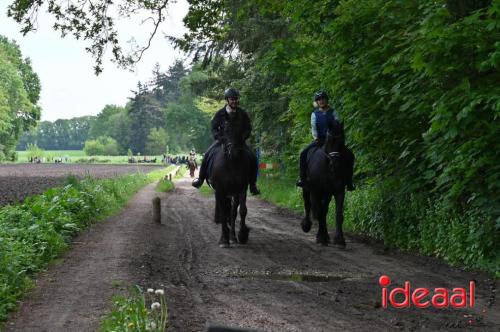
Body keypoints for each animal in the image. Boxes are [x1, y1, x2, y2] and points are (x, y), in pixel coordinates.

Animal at [208, 114, 252, 246]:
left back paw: (232, 235)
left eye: (240, 130)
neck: (231, 163)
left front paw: (242, 235)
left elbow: (241, 211)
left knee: (232, 212)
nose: (233, 151)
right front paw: (224, 239)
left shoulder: (241, 189)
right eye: (225, 130)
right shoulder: (220, 190)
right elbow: (224, 212)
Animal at [300, 120, 348, 248]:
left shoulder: (337, 191)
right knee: (308, 204)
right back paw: (306, 225)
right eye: (329, 140)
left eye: (342, 141)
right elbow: (319, 212)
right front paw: (321, 237)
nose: (335, 164)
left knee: (323, 209)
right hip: (308, 189)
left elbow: (337, 213)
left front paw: (339, 240)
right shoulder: (317, 190)